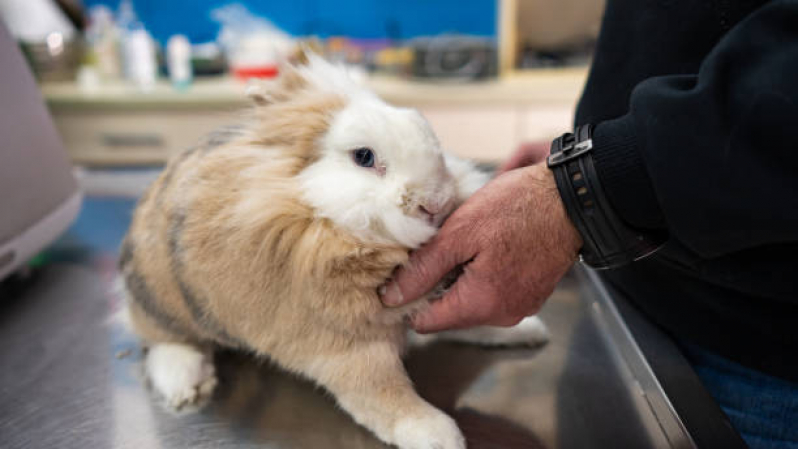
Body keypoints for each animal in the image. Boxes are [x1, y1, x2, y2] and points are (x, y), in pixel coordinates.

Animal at [119, 56, 552, 448]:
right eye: (364, 157)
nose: (435, 203)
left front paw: (521, 331)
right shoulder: (341, 344)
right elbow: (382, 392)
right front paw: (436, 435)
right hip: (164, 304)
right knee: (162, 343)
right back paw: (185, 385)